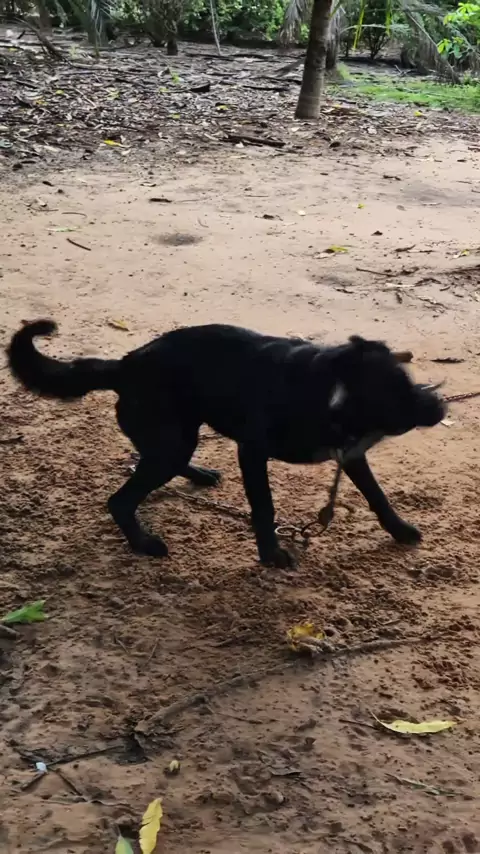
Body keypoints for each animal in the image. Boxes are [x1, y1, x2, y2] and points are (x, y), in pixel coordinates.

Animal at [7, 320, 446, 568]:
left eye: (408, 378)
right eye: (400, 393)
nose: (440, 402)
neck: (332, 391)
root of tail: (126, 364)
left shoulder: (351, 456)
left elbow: (377, 496)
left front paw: (399, 529)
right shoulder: (252, 453)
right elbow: (264, 508)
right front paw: (271, 556)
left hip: (178, 437)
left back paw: (198, 475)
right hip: (173, 442)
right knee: (121, 500)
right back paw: (143, 543)